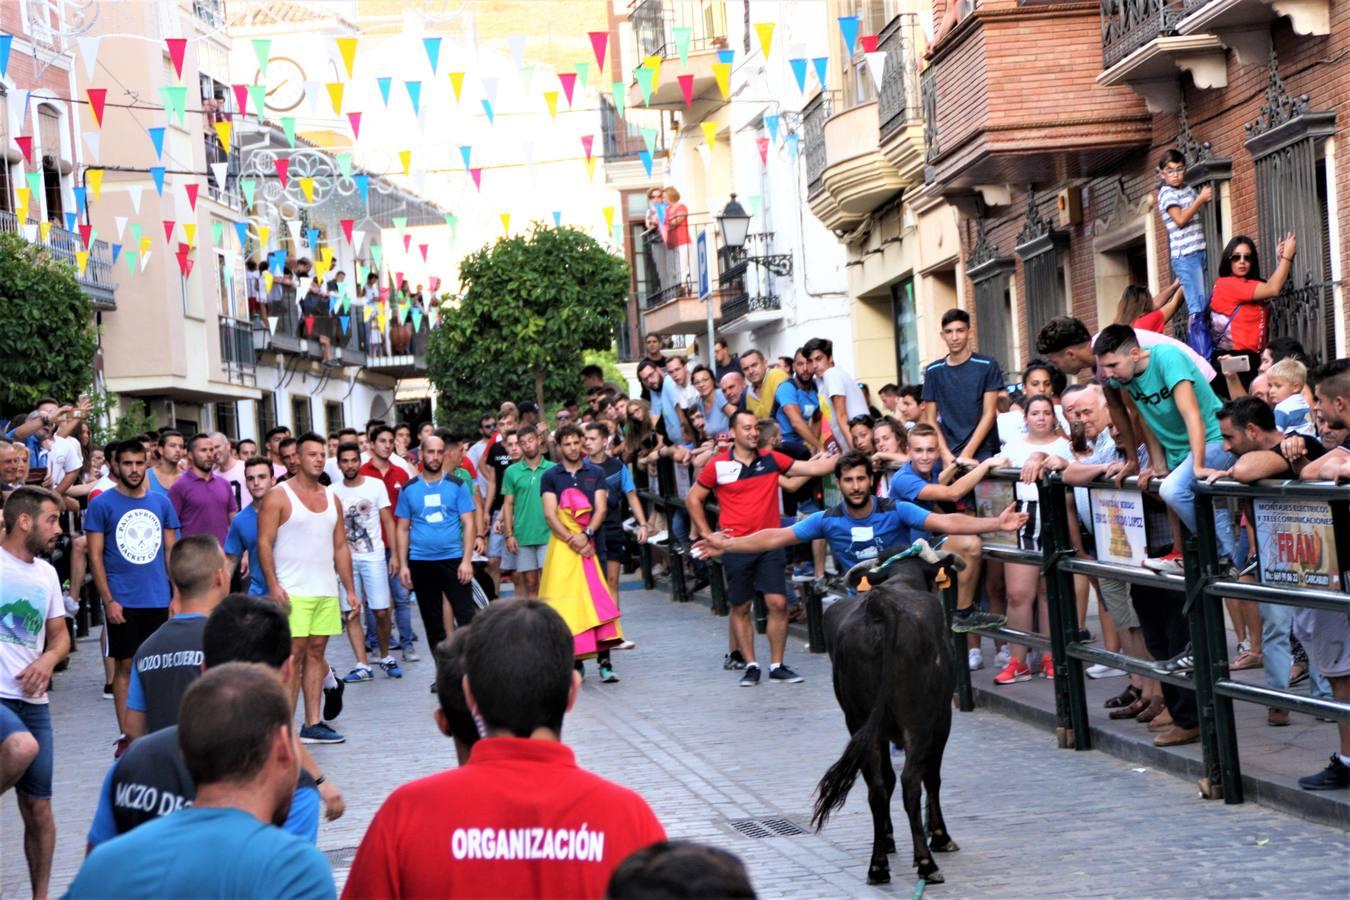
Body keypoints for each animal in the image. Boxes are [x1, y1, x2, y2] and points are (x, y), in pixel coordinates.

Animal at [810, 555, 961, 885]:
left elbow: (885, 781)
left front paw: (888, 840)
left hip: (859, 722)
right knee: (911, 781)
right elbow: (932, 777)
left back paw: (878, 866)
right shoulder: (941, 718)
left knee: (877, 787)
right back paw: (927, 863)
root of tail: (881, 605)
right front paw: (940, 837)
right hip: (918, 721)